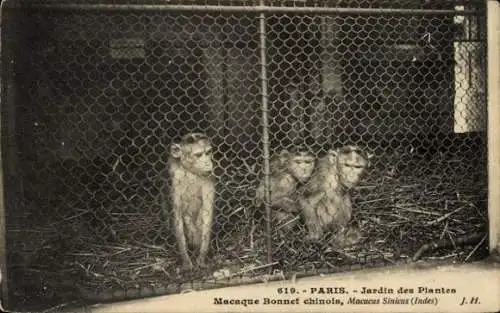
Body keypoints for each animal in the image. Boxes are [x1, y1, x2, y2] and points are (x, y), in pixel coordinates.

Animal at [168, 132, 215, 268]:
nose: (208, 163)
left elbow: (207, 211)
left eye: (208, 152)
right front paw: (186, 260)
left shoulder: (208, 176)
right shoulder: (175, 177)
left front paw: (202, 256)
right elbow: (177, 214)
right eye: (198, 155)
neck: (190, 172)